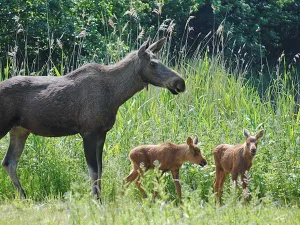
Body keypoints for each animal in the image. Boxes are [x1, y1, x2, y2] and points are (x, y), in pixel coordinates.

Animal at [0, 37, 186, 200]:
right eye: (153, 63)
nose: (181, 83)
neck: (116, 95)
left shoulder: (102, 133)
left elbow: (100, 170)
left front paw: (100, 198)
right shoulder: (88, 131)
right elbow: (93, 170)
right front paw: (95, 200)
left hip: (20, 130)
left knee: (9, 162)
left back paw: (24, 197)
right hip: (5, 126)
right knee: (9, 161)